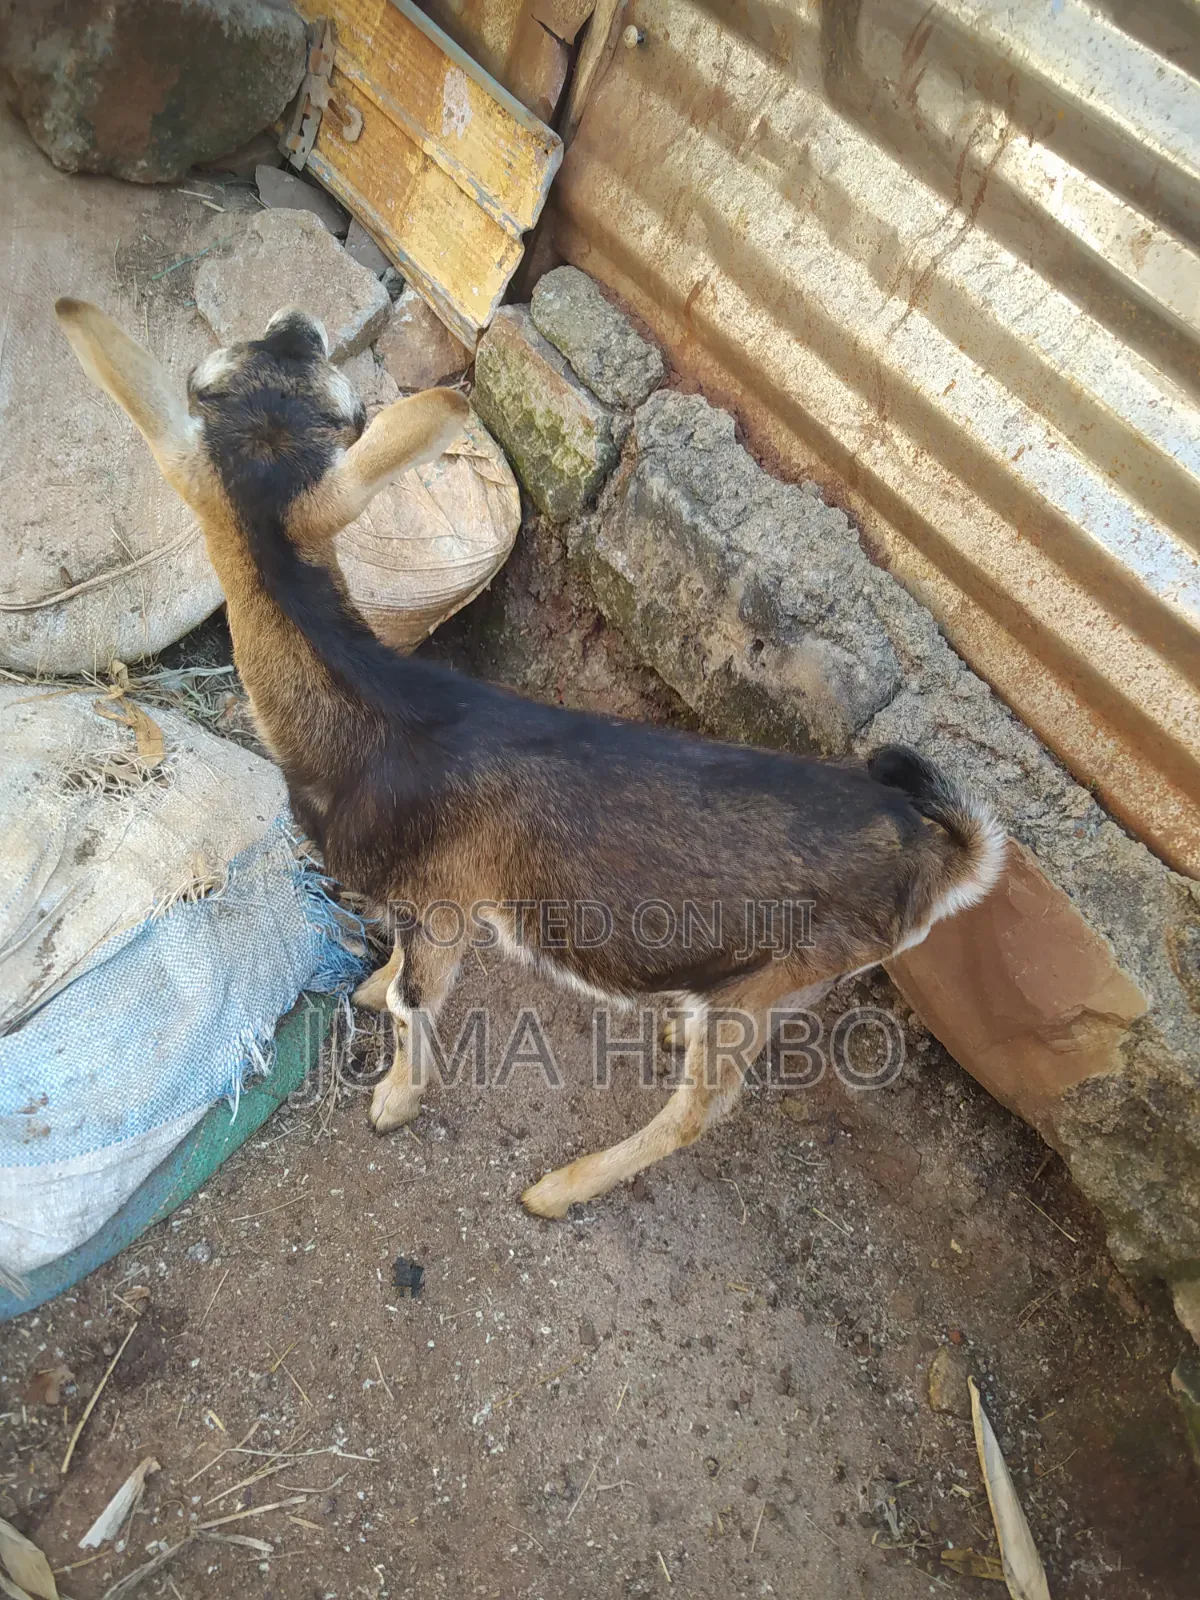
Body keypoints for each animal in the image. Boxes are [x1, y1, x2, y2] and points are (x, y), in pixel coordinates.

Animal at [55, 300, 1006, 1217]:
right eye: (217, 379)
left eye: (341, 407)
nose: (297, 326)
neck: (381, 719)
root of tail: (941, 849)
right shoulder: (432, 900)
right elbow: (398, 976)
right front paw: (369, 990)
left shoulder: (442, 894)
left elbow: (414, 1001)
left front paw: (395, 1100)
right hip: (794, 968)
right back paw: (677, 1021)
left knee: (701, 1111)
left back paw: (561, 1188)